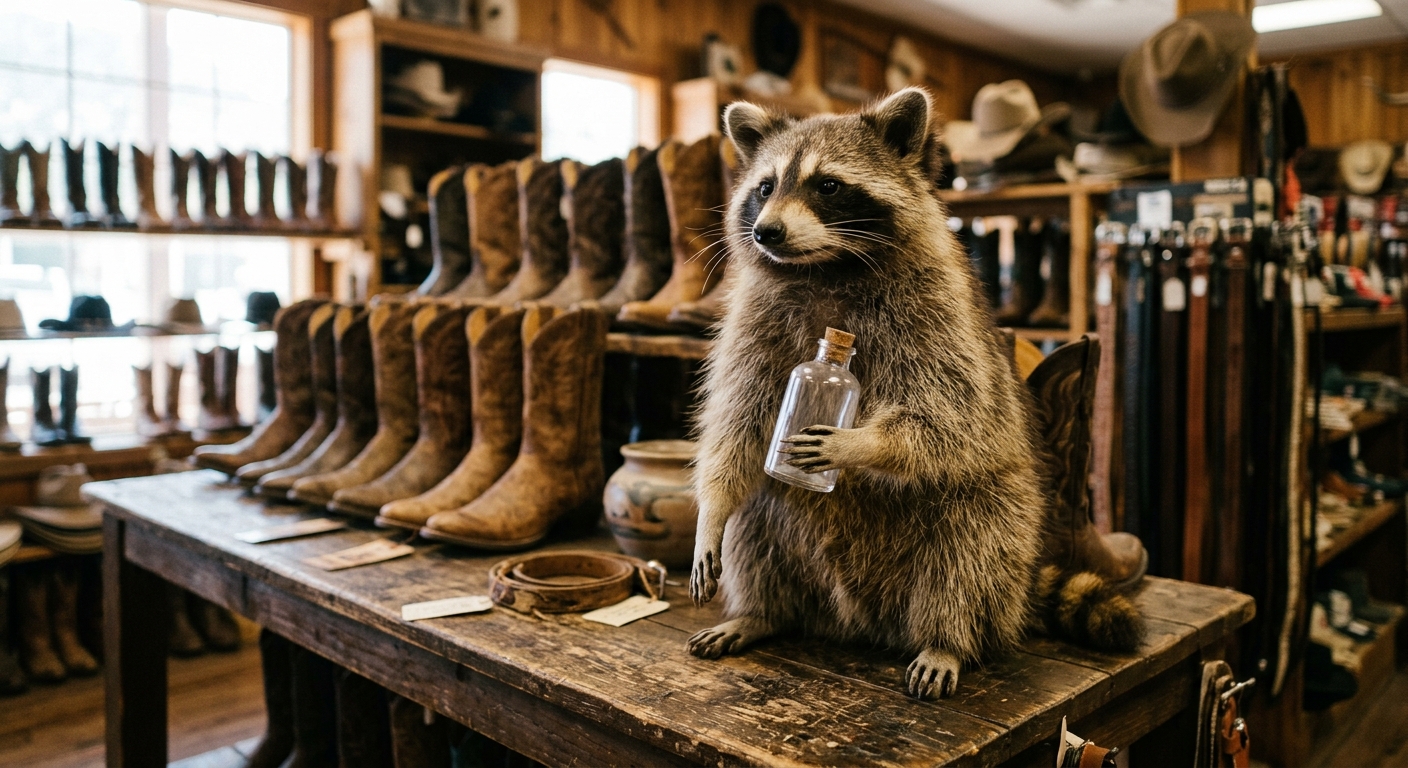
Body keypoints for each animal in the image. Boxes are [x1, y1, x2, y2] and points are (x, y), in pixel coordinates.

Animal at [687, 88, 1086, 699]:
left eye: (827, 185)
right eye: (766, 187)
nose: (766, 232)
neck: (826, 267)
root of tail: (861, 622)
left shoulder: (935, 308)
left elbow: (950, 413)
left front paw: (857, 442)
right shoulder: (755, 319)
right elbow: (737, 421)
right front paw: (710, 511)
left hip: (1006, 514)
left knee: (973, 542)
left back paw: (948, 639)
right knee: (757, 517)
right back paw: (760, 611)